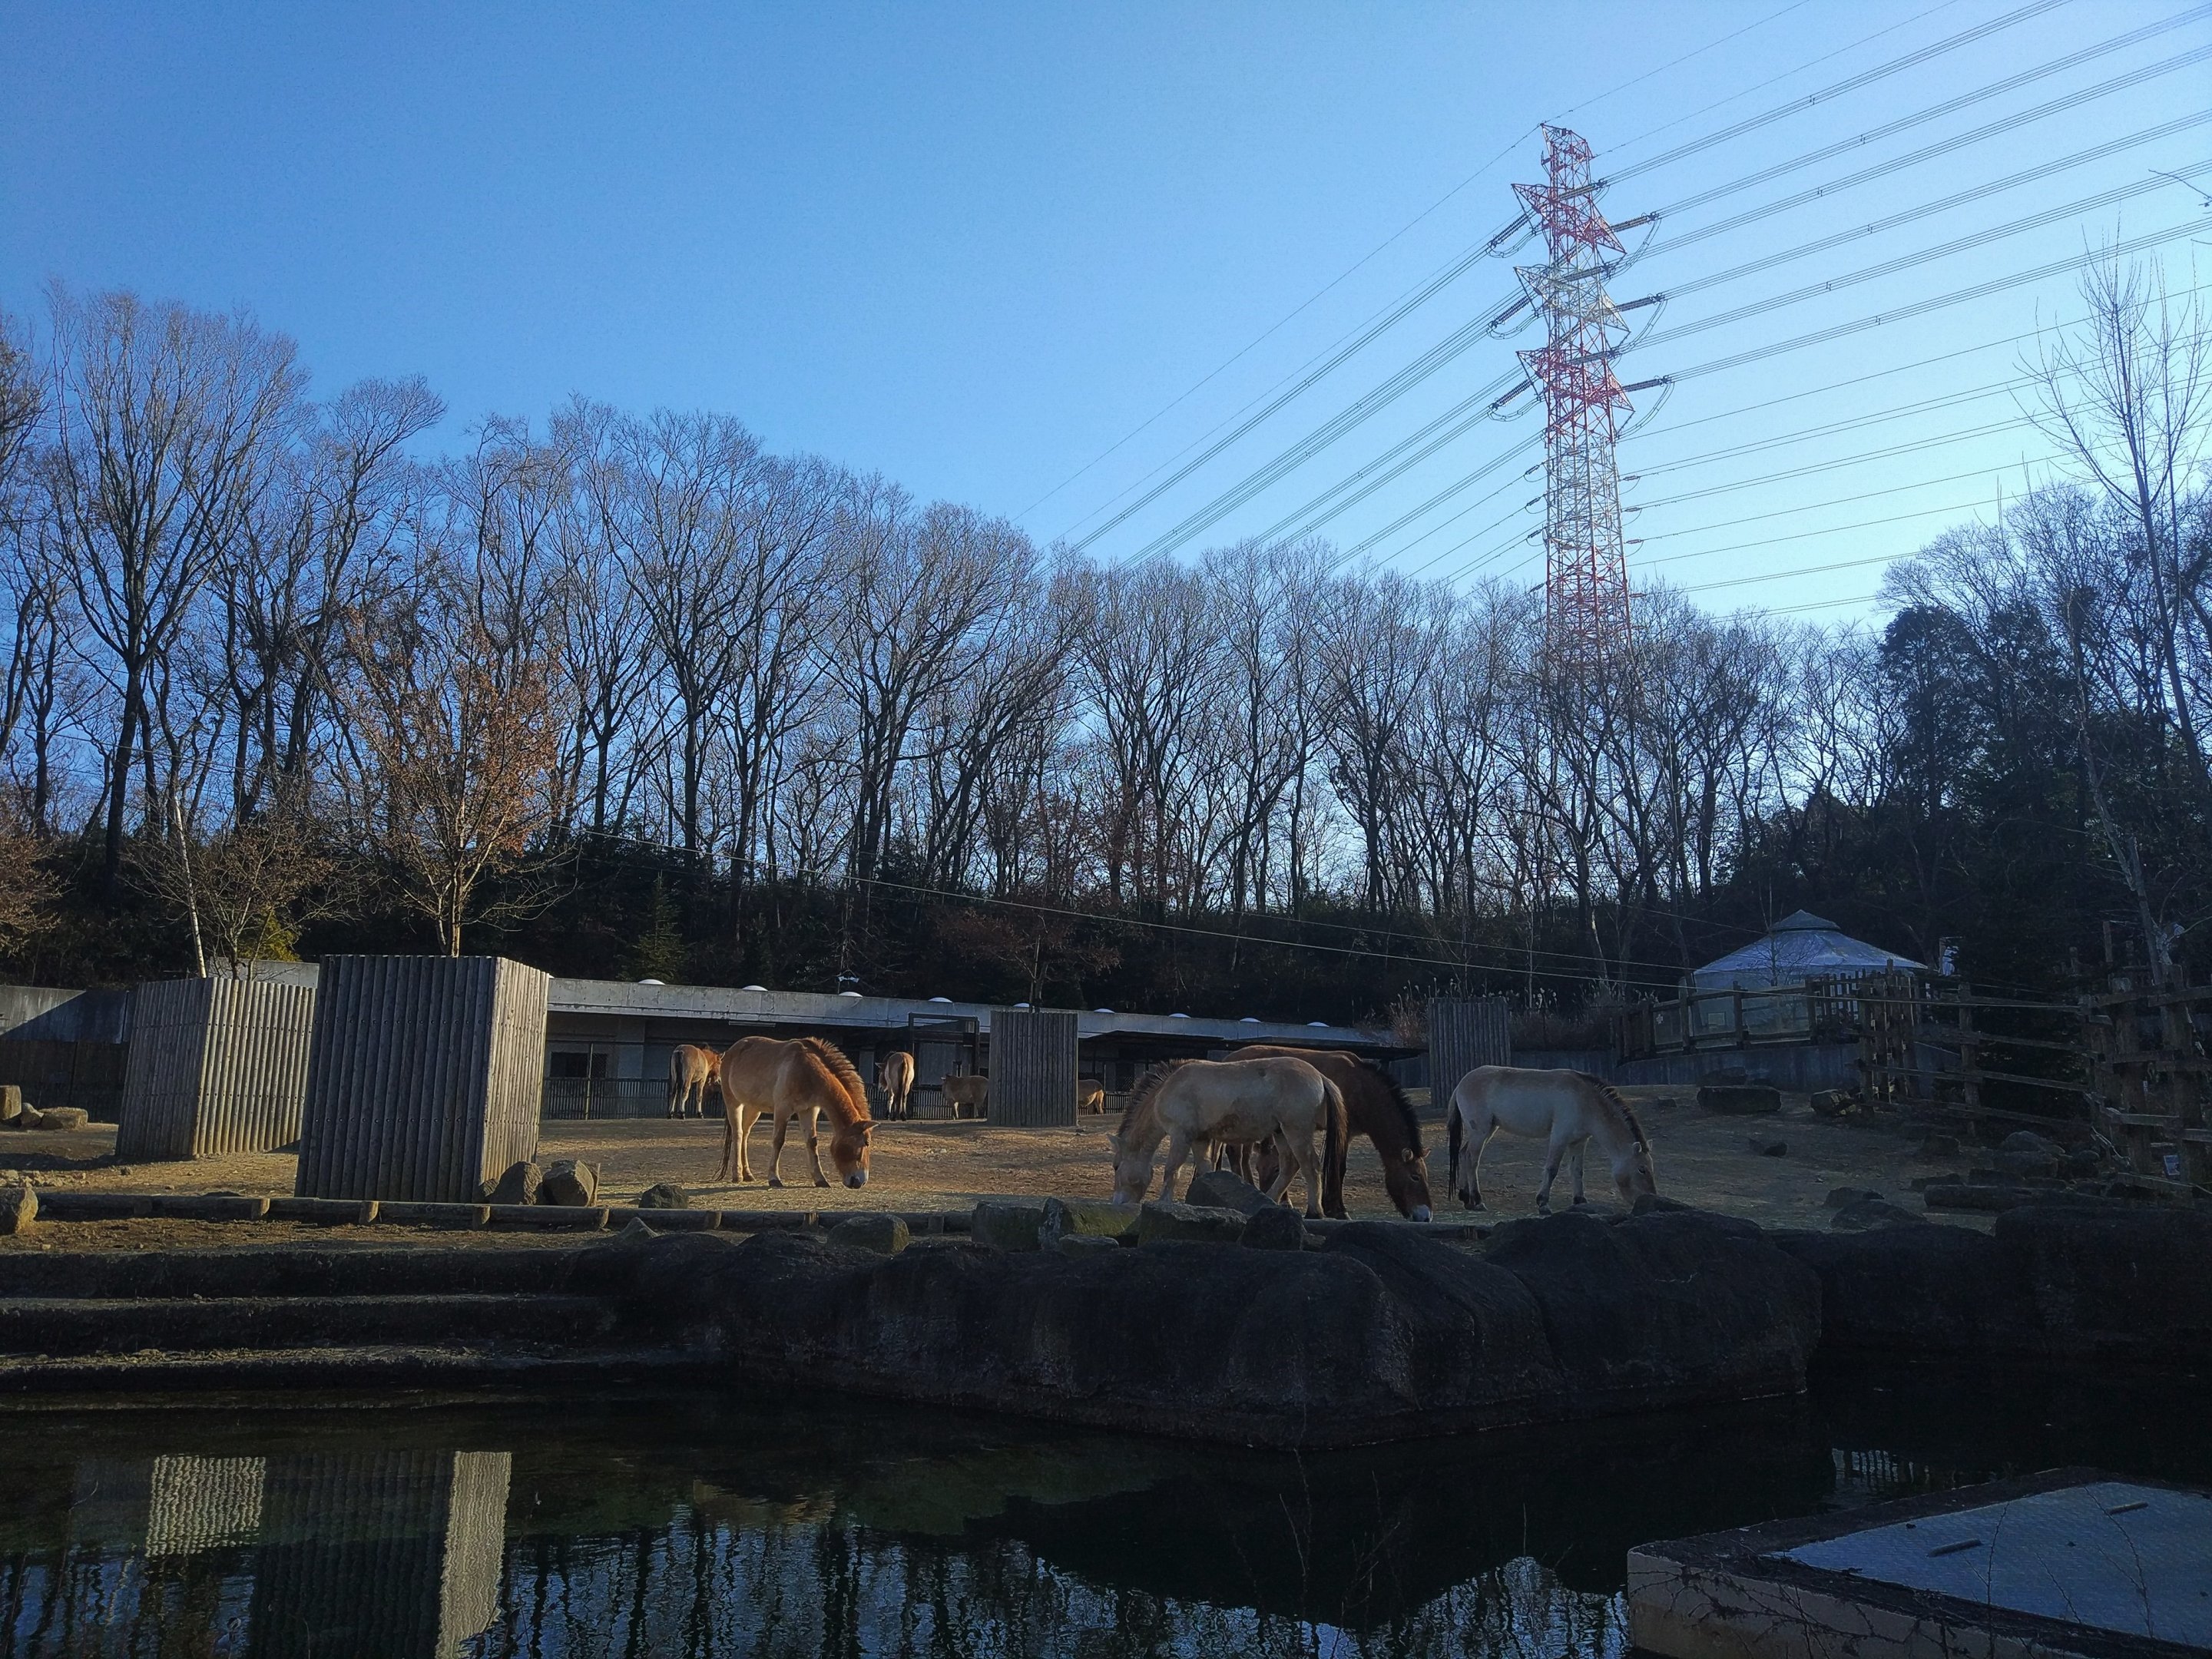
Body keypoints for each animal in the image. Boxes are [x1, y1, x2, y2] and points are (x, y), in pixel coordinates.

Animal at [716, 1035, 875, 1189]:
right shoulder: (783, 1109)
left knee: (745, 1135)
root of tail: (729, 1052)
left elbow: (812, 1142)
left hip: (753, 1109)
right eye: (866, 1143)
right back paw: (737, 1175)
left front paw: (820, 1179)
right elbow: (778, 1141)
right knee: (738, 1134)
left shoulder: (809, 1110)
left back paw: (748, 1174)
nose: (860, 1181)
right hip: (734, 1103)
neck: (806, 1068)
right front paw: (774, 1178)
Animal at [1109, 1056, 1345, 1218]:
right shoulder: (1200, 1139)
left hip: (1297, 1131)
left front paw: (1163, 1203)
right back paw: (1269, 1201)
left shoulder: (1181, 1135)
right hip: (1281, 1133)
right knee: (1290, 1167)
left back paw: (1314, 1211)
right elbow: (1205, 1170)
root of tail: (1320, 1077)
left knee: (1310, 1167)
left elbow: (1171, 1171)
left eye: (1116, 1166)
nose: (1117, 1203)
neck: (1168, 1088)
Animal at [1231, 1045, 1433, 1221]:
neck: (1361, 1086)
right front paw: (1339, 1211)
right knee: (1237, 1157)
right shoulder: (1344, 1132)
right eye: (1416, 1177)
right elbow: (1339, 1168)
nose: (1426, 1217)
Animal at [1444, 1065, 1657, 1214]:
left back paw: (1465, 1198)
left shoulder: (1579, 1142)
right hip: (1480, 1132)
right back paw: (1477, 1201)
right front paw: (1543, 1204)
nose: (1651, 1199)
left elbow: (1577, 1171)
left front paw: (1580, 1201)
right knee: (1472, 1160)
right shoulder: (1559, 1137)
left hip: (1488, 1130)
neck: (1585, 1099)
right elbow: (1552, 1169)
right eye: (1642, 1169)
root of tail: (1461, 1083)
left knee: (1463, 1154)